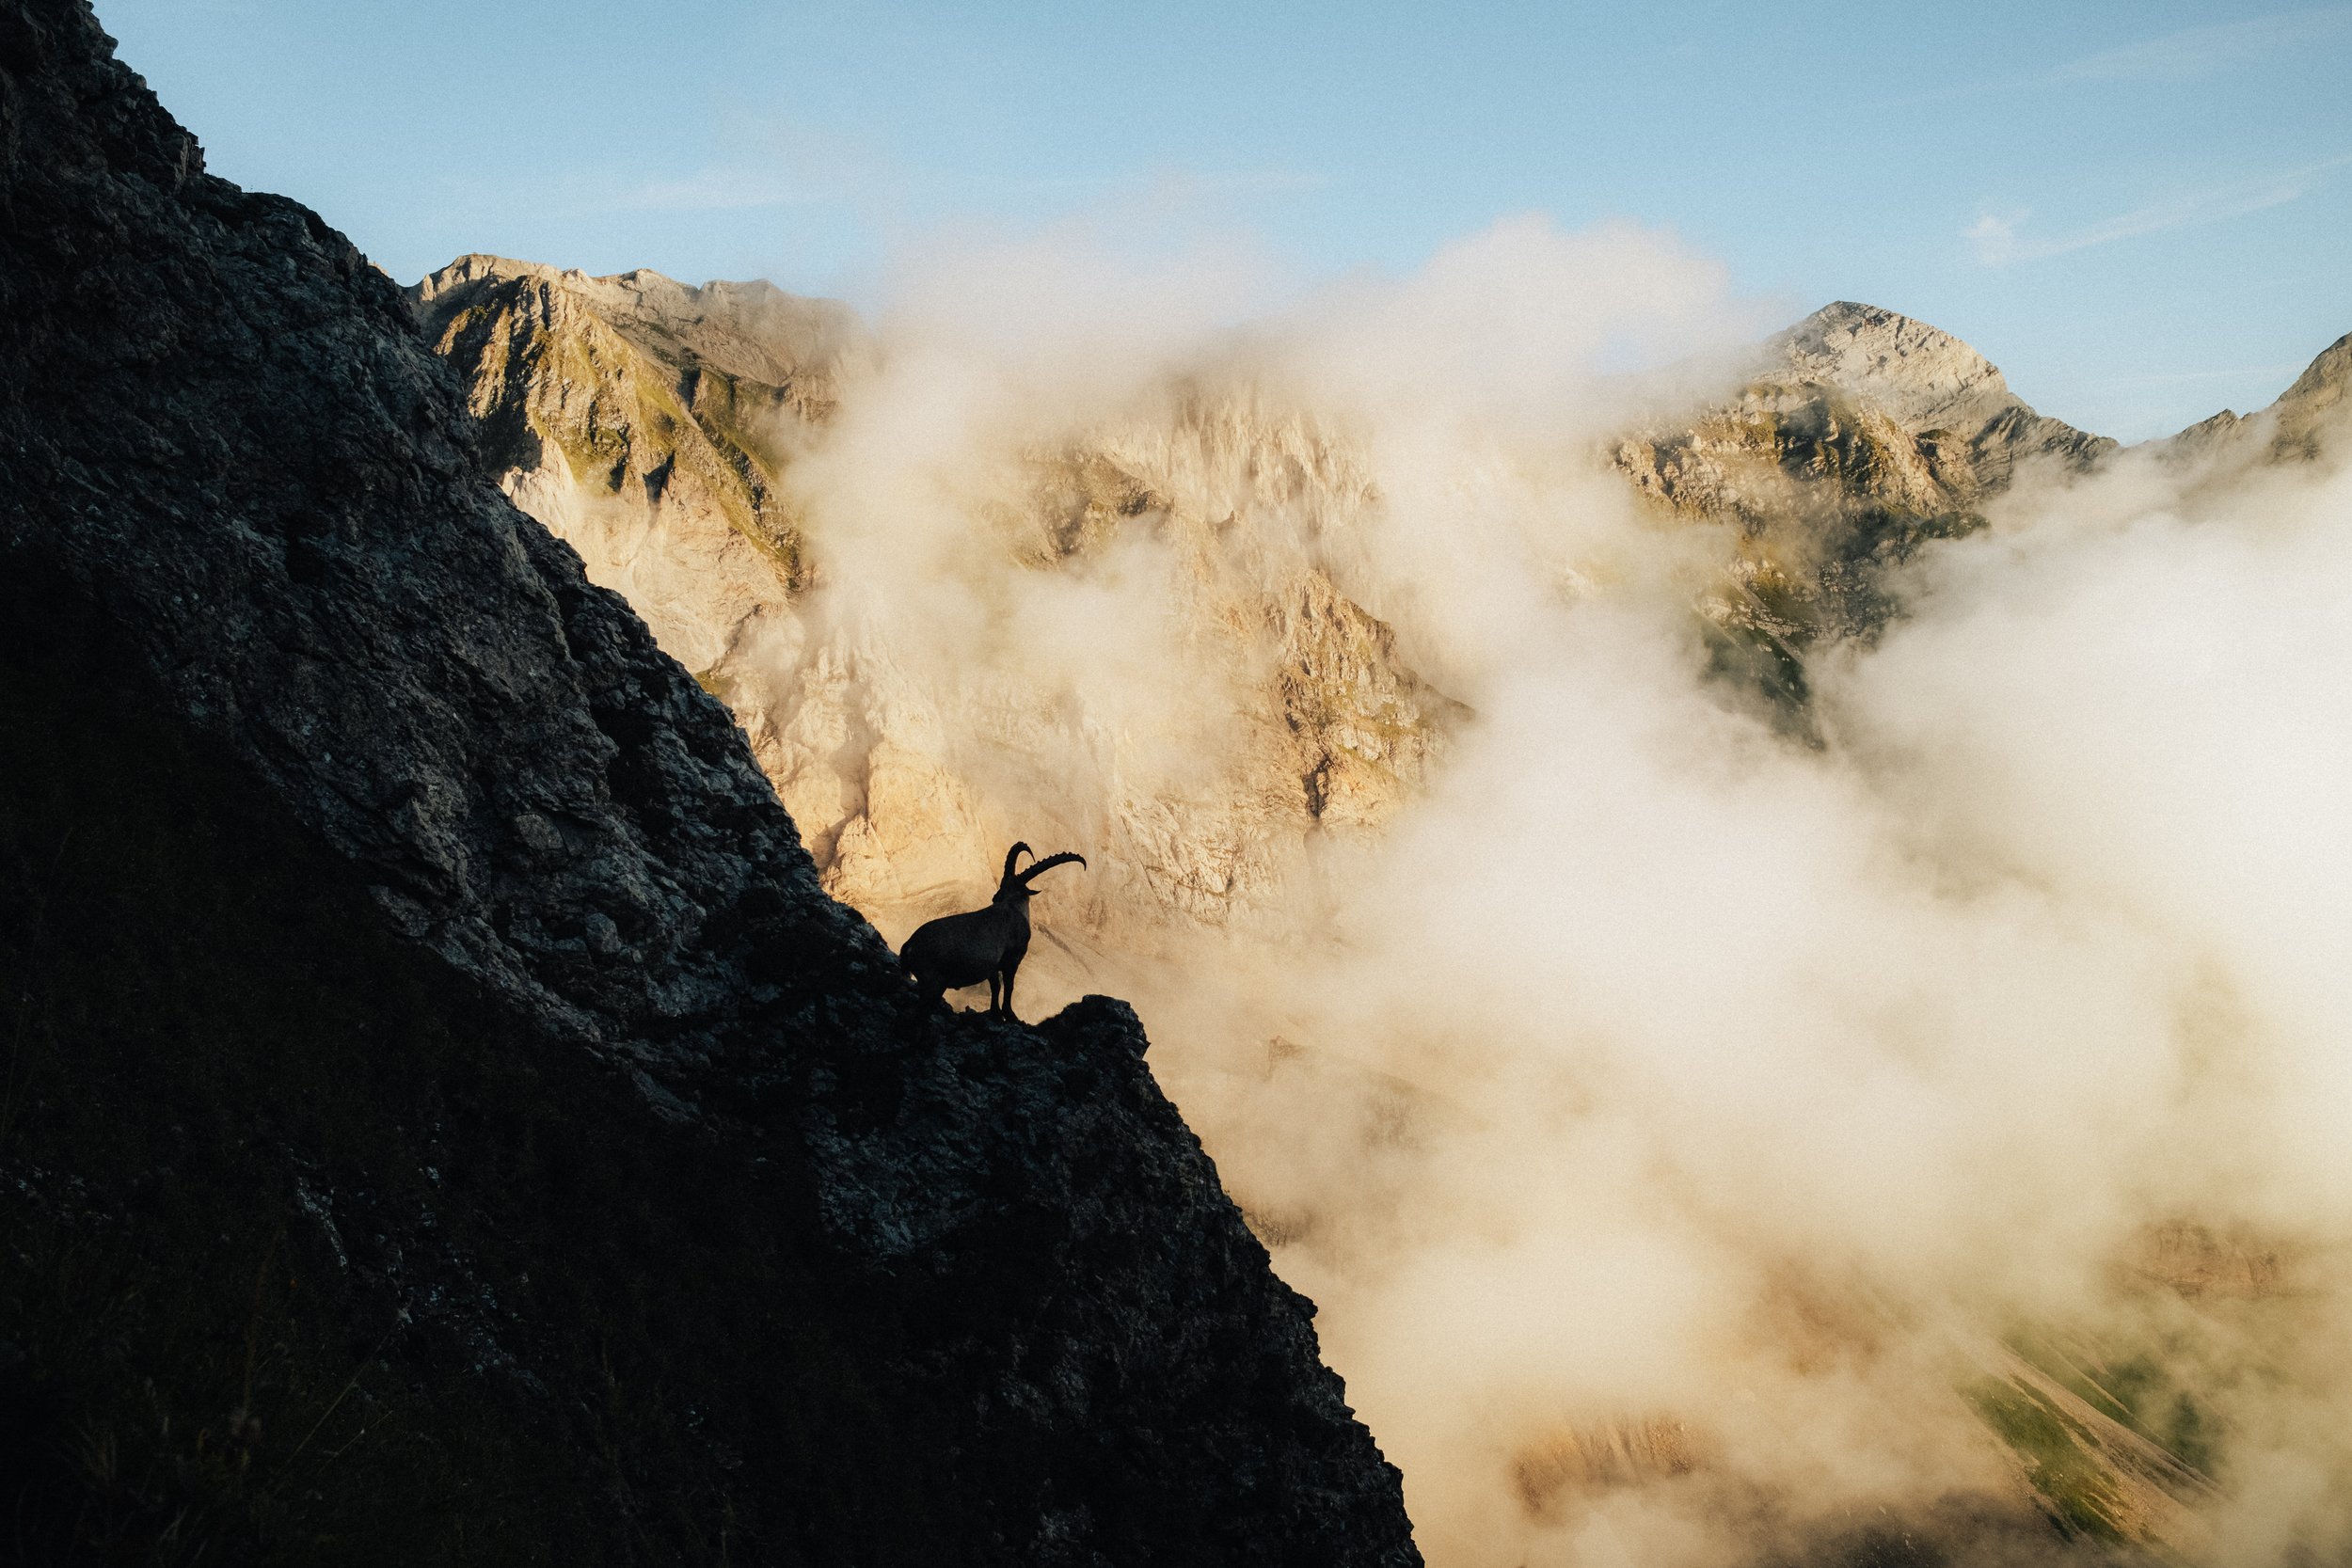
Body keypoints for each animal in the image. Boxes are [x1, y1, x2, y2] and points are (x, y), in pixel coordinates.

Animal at [899, 842, 1086, 1019]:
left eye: (1003, 884)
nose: (995, 897)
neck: (1012, 907)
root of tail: (909, 945)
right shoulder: (1012, 959)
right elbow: (1009, 986)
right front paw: (1010, 1015)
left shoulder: (993, 966)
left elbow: (995, 986)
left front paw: (996, 1013)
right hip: (933, 982)